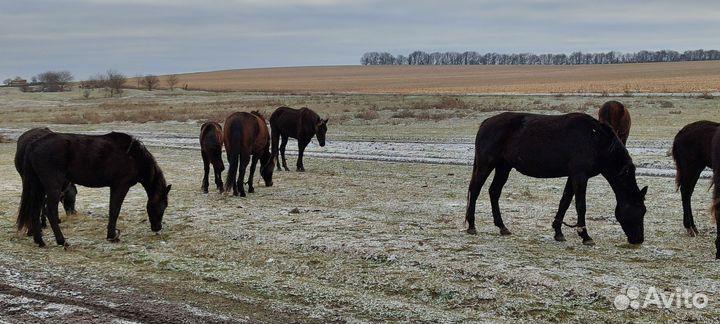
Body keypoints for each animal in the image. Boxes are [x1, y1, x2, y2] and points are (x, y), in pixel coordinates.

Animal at [17, 130, 170, 247]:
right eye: (163, 206)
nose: (157, 228)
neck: (133, 156)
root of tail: (33, 144)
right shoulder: (121, 186)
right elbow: (115, 210)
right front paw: (112, 236)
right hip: (53, 186)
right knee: (50, 211)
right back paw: (62, 241)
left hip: (38, 186)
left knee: (35, 210)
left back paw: (39, 241)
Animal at [464, 112, 648, 246]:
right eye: (639, 210)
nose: (639, 240)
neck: (595, 140)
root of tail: (486, 123)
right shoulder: (580, 175)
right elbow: (580, 205)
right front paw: (585, 235)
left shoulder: (572, 176)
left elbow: (565, 202)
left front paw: (558, 232)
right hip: (486, 164)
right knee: (475, 190)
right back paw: (472, 226)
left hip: (503, 167)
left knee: (494, 192)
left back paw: (502, 227)